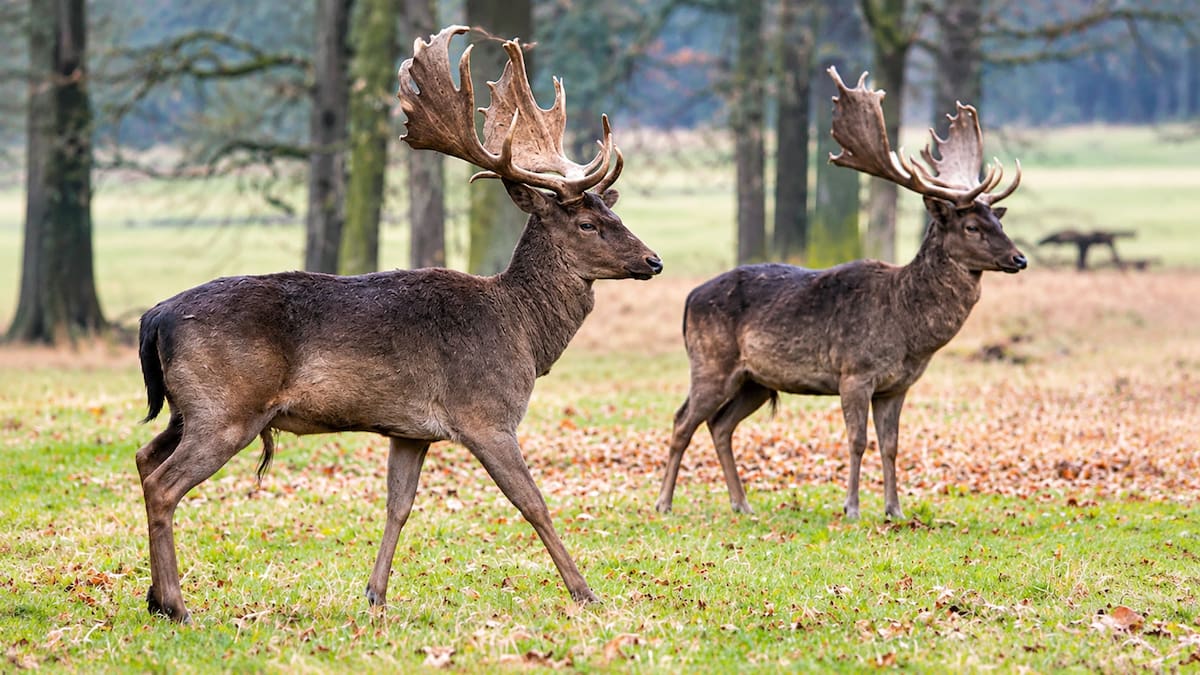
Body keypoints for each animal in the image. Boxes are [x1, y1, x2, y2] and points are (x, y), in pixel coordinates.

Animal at [133, 25, 661, 623]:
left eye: (616, 213)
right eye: (588, 222)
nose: (653, 261)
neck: (522, 333)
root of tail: (154, 318)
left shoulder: (410, 430)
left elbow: (399, 506)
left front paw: (375, 595)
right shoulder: (486, 413)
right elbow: (533, 503)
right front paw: (585, 592)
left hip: (188, 407)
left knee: (143, 458)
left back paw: (155, 596)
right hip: (226, 407)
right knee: (164, 483)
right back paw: (175, 605)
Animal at [654, 67, 1025, 521]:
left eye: (998, 219)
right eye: (971, 226)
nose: (1019, 258)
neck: (908, 330)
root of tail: (689, 299)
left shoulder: (897, 386)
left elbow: (891, 446)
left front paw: (894, 510)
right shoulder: (855, 371)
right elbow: (857, 440)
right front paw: (852, 508)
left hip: (753, 380)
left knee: (720, 425)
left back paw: (742, 504)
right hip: (710, 362)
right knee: (682, 420)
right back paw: (664, 503)